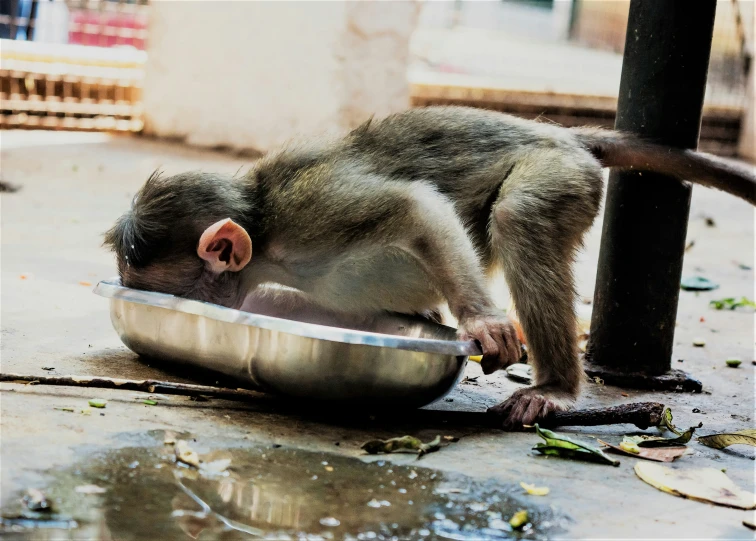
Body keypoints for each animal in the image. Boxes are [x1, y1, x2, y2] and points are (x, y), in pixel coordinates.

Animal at [105, 104, 756, 426]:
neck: (264, 237)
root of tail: (565, 137)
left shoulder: (309, 215)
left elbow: (413, 207)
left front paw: (482, 322)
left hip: (562, 173)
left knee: (520, 214)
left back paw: (556, 388)